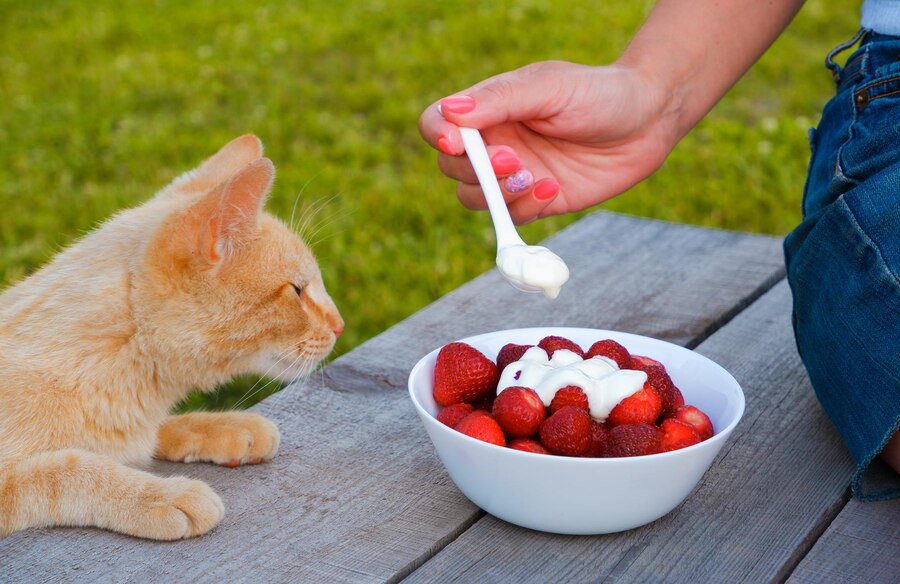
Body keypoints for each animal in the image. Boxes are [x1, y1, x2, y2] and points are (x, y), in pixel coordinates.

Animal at [0, 135, 344, 540]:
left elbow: (155, 432)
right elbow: (69, 470)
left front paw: (224, 425)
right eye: (297, 290)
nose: (339, 325)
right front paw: (162, 495)